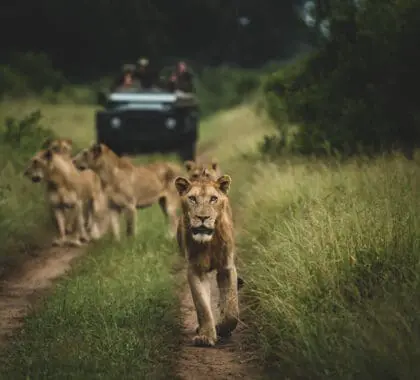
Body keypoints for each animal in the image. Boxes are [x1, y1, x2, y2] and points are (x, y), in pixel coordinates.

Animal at [174, 174, 240, 346]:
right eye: (192, 198)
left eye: (213, 199)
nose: (202, 217)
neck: (209, 242)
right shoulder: (196, 270)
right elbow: (202, 305)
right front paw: (206, 336)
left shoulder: (227, 268)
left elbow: (232, 309)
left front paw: (222, 327)